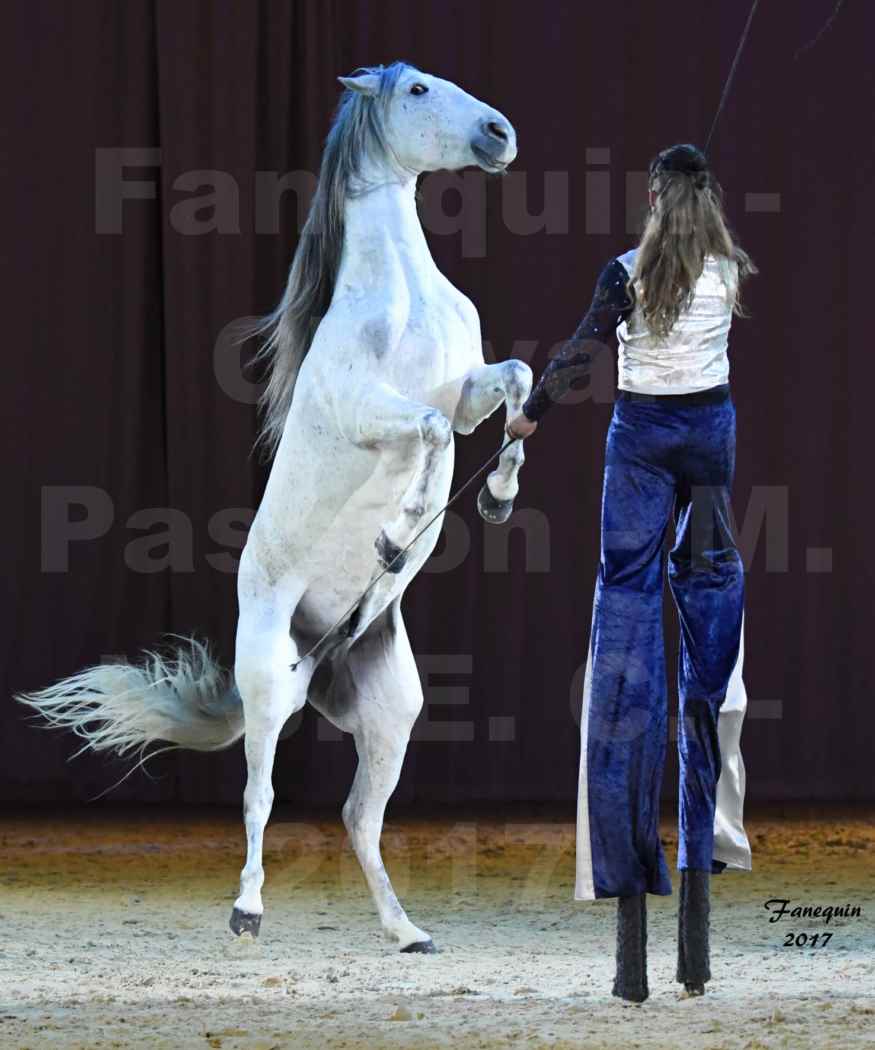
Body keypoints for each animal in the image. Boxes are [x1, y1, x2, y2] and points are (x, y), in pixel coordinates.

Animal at [18, 61, 533, 957]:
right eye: (417, 91)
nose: (498, 135)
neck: (403, 294)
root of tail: (317, 665)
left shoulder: (468, 390)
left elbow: (513, 385)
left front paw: (498, 496)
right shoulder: (373, 413)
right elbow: (429, 434)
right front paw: (397, 536)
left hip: (391, 712)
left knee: (360, 818)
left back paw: (406, 932)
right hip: (265, 688)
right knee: (258, 797)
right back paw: (248, 910)